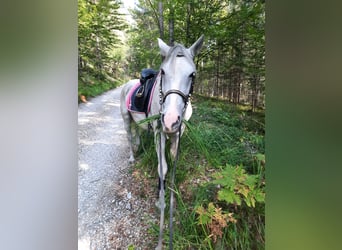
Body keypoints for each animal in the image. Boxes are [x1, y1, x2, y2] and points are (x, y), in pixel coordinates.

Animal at [120, 35, 203, 248]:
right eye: (163, 72)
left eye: (192, 74)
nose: (171, 119)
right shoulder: (159, 133)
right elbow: (162, 167)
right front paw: (161, 200)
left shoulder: (177, 133)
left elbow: (173, 160)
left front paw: (171, 194)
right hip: (126, 119)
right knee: (129, 136)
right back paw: (132, 157)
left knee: (137, 136)